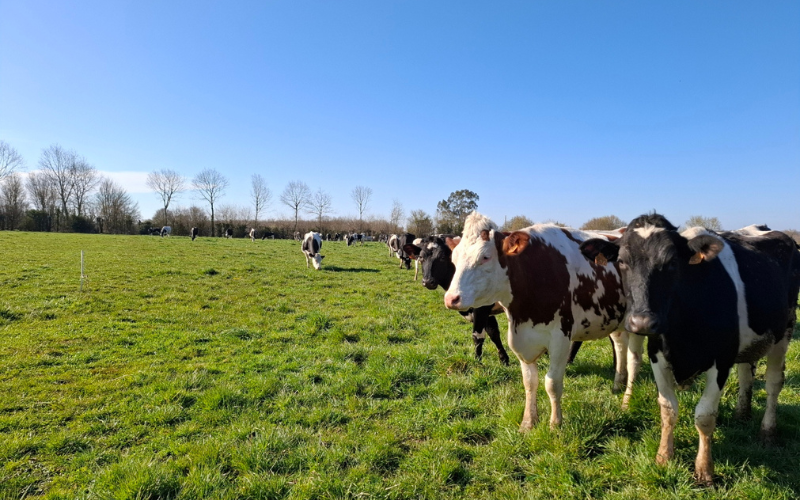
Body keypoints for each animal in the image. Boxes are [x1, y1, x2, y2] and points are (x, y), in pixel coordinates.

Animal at [403, 235, 510, 365]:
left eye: (443, 257)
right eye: (421, 257)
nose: (428, 281)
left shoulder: (481, 308)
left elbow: (478, 336)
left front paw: (478, 364)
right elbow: (494, 333)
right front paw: (504, 360)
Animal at [444, 212, 640, 432]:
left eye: (485, 257)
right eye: (454, 258)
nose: (451, 298)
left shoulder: (560, 338)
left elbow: (552, 383)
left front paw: (555, 424)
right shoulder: (520, 338)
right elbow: (530, 382)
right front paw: (528, 423)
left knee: (634, 361)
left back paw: (627, 401)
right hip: (616, 320)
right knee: (620, 347)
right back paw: (617, 385)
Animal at [579, 214, 800, 485]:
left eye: (672, 262)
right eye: (621, 261)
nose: (641, 323)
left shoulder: (721, 359)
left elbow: (704, 416)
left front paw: (704, 470)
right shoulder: (657, 354)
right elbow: (667, 408)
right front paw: (664, 457)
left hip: (785, 330)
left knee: (773, 384)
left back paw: (768, 432)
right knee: (746, 374)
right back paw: (742, 414)